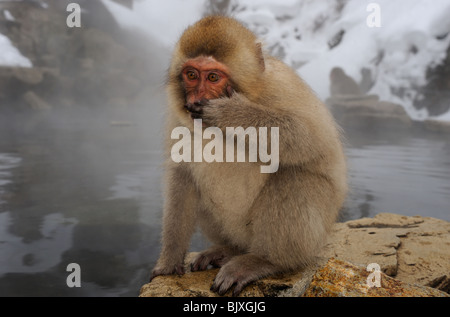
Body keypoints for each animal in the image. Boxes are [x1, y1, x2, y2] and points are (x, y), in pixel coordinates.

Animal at [151, 15, 348, 296]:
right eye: (191, 75)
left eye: (213, 77)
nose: (196, 99)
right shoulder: (178, 116)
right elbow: (181, 172)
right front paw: (169, 259)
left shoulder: (283, 88)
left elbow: (309, 136)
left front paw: (229, 112)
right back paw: (228, 250)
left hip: (310, 237)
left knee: (294, 176)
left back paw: (263, 261)